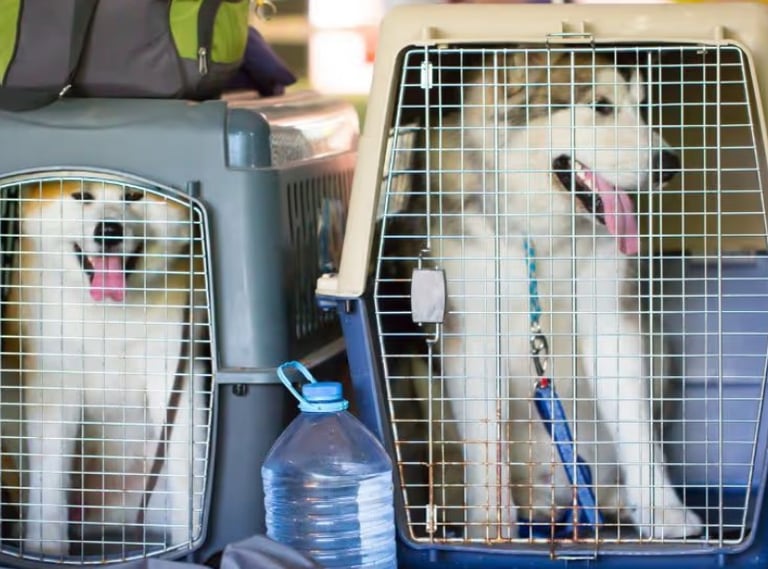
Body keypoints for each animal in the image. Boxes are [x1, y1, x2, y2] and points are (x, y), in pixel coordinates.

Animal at [1, 180, 209, 556]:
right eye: (82, 196)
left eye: (134, 196)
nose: (109, 230)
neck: (107, 316)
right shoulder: (55, 379)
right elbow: (50, 475)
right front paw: (45, 548)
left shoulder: (174, 373)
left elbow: (188, 471)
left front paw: (190, 538)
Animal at [386, 51, 704, 541]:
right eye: (601, 106)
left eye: (640, 108)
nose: (669, 165)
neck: (541, 234)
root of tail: (554, 499)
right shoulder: (473, 336)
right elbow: (486, 434)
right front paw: (492, 523)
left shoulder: (611, 324)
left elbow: (637, 427)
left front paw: (664, 513)